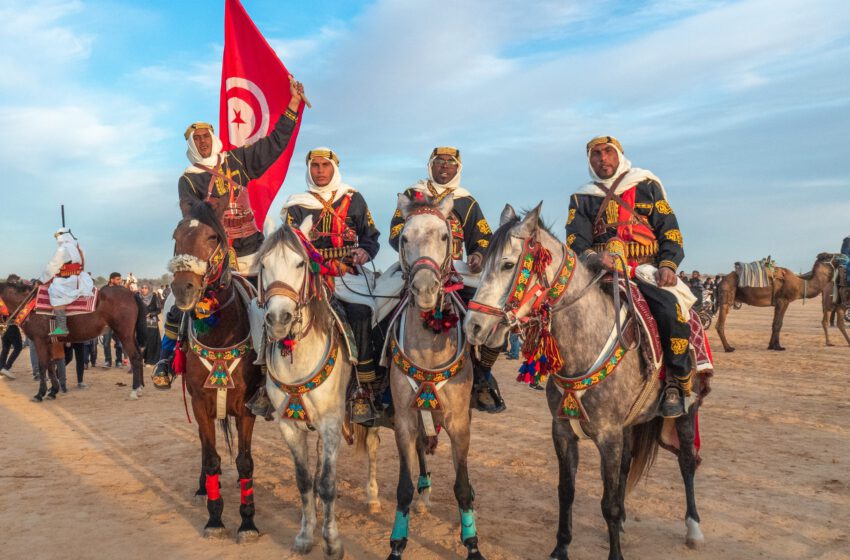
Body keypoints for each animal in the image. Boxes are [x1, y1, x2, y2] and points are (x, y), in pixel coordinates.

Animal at [0, 278, 144, 400]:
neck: (31, 306)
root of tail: (132, 294)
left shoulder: (39, 341)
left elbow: (43, 366)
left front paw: (40, 394)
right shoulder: (48, 343)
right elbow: (50, 365)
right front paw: (53, 391)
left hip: (124, 334)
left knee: (135, 357)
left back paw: (134, 390)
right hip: (130, 334)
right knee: (139, 355)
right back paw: (140, 387)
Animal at [171, 201, 264, 544]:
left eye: (212, 236)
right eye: (176, 236)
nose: (183, 289)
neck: (220, 333)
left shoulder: (246, 407)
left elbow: (245, 462)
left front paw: (248, 522)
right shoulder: (200, 403)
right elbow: (212, 458)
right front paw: (215, 518)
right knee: (203, 443)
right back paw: (202, 488)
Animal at [712, 253, 840, 350]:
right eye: (829, 256)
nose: (841, 256)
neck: (801, 284)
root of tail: (721, 280)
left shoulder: (778, 303)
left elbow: (774, 323)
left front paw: (771, 346)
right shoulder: (783, 300)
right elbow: (779, 324)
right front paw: (778, 346)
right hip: (726, 297)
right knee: (720, 324)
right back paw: (728, 348)